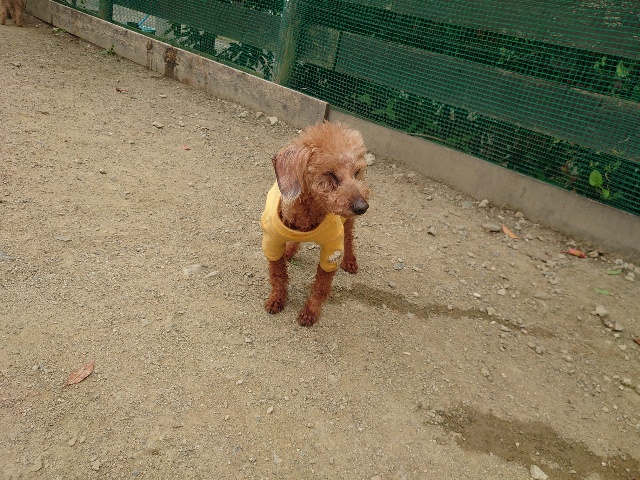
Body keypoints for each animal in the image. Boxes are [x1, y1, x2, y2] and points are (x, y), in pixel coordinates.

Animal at [261, 121, 370, 326]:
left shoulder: (331, 251)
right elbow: (278, 275)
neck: (307, 218)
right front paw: (276, 300)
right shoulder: (272, 243)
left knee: (349, 237)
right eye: (329, 174)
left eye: (356, 172)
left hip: (348, 221)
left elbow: (320, 286)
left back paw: (350, 261)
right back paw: (290, 251)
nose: (363, 207)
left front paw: (309, 312)